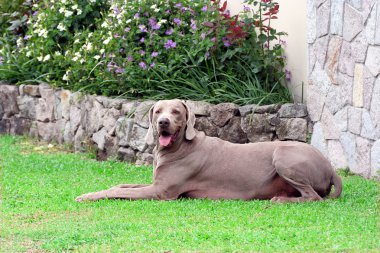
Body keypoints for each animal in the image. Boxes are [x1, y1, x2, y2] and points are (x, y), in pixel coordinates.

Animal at [75, 99, 342, 202]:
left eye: (176, 112)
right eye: (158, 110)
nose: (162, 122)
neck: (179, 147)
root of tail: (331, 167)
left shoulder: (162, 192)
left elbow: (118, 192)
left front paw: (85, 196)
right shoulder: (155, 183)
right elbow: (122, 185)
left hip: (283, 156)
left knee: (313, 197)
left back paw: (280, 200)